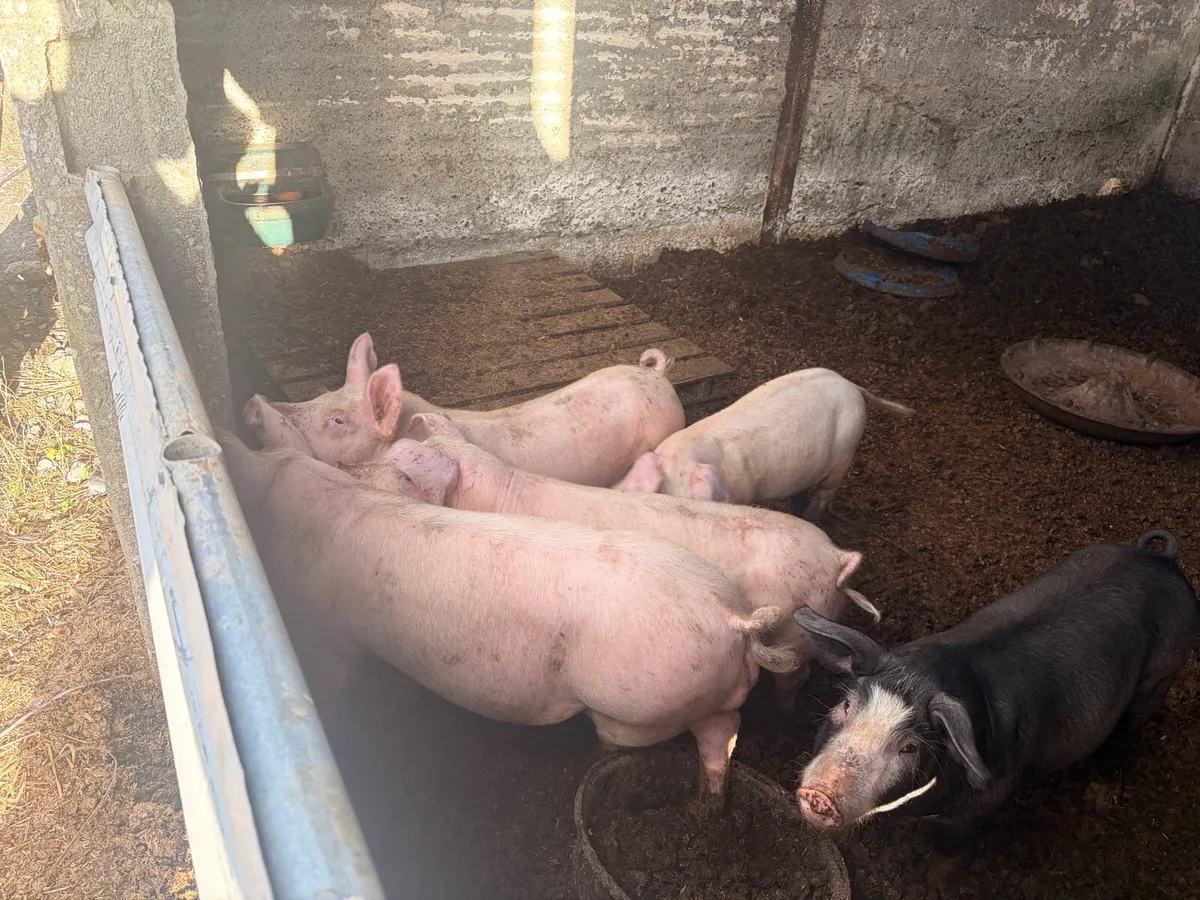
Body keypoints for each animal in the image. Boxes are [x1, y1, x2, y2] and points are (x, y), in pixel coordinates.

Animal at [217, 431, 799, 809]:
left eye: (403, 470)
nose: (351, 466)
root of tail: (731, 617)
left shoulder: (326, 630)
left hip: (632, 709)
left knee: (628, 741)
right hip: (710, 699)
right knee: (721, 741)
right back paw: (708, 806)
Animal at [351, 411, 882, 712]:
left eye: (404, 474)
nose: (351, 471)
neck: (499, 493)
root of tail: (836, 558)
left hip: (795, 633)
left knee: (794, 679)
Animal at [792, 530, 1199, 884]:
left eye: (909, 747)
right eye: (847, 704)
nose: (820, 794)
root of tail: (1162, 559)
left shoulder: (984, 806)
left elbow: (951, 849)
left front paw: (935, 883)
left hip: (1160, 674)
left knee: (1124, 735)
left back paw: (1102, 801)